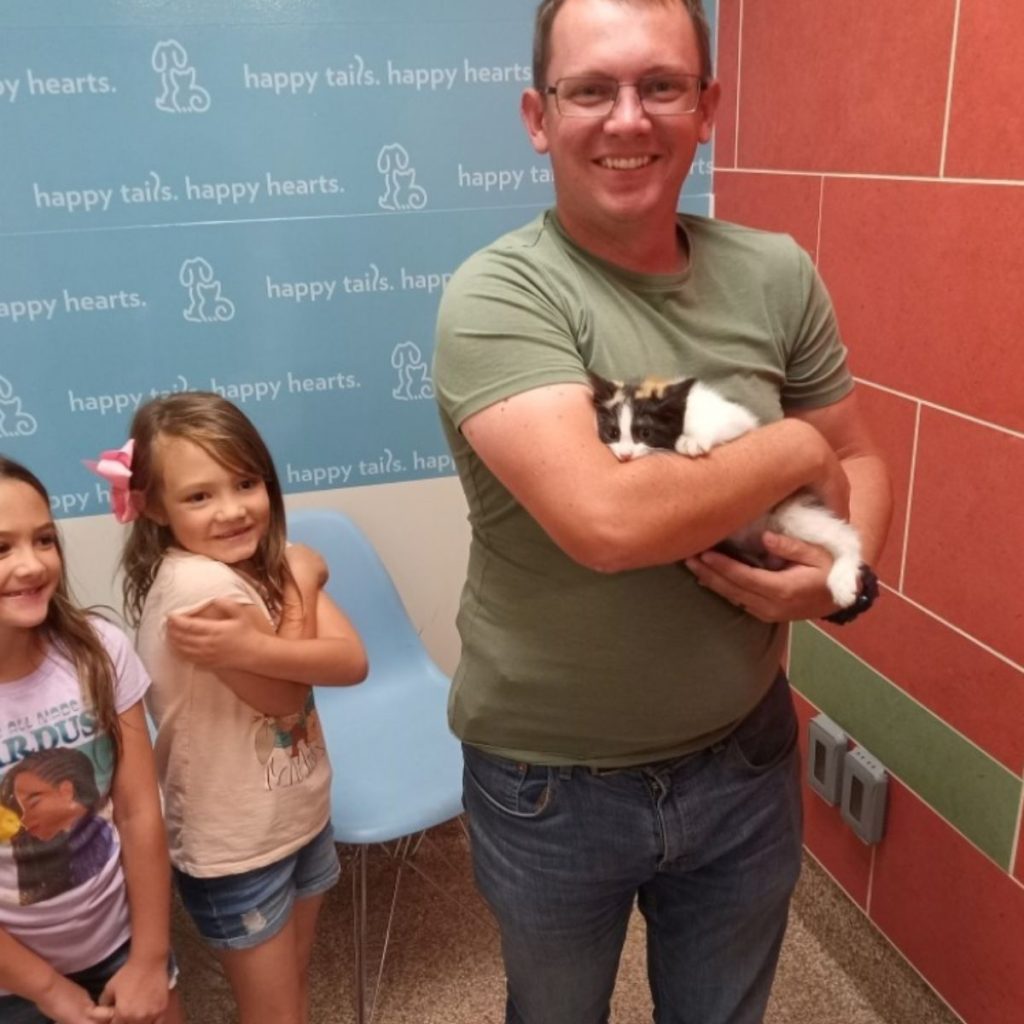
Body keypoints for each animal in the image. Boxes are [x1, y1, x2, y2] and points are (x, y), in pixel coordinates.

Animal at [593, 372, 864, 606]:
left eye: (645, 433)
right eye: (612, 433)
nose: (625, 455)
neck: (683, 413)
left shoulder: (738, 420)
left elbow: (725, 425)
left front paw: (694, 439)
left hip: (789, 509)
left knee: (846, 536)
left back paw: (842, 581)